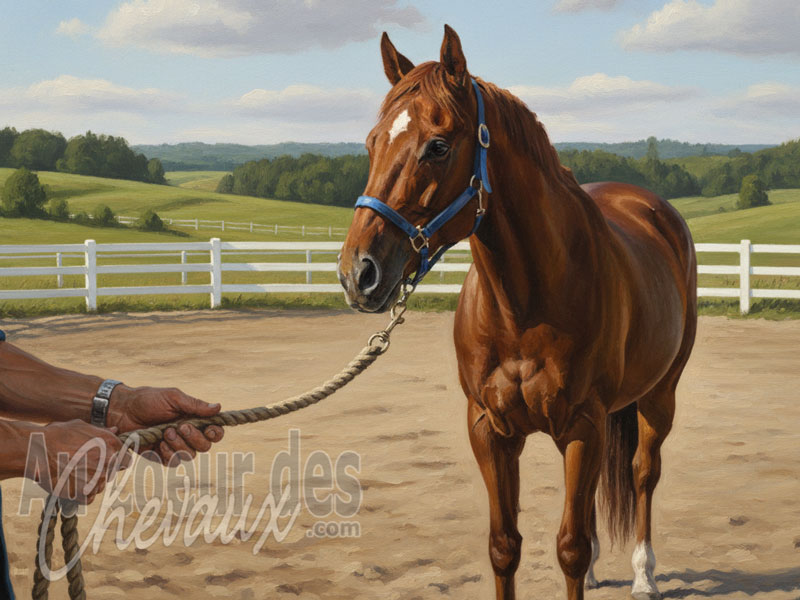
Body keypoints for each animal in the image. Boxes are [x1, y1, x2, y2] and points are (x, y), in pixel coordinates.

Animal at [338, 25, 697, 600]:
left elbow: (569, 548)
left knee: (643, 472)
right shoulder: (490, 429)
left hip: (660, 394)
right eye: (372, 143)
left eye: (438, 145)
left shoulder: (583, 426)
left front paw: (594, 566)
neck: (523, 309)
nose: (358, 273)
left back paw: (644, 574)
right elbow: (505, 546)